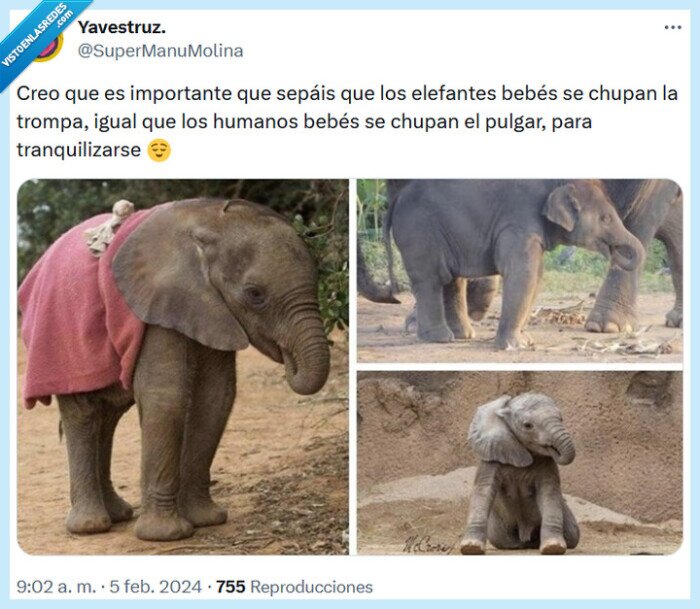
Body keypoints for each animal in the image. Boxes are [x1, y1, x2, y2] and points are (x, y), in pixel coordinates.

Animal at [19, 198, 330, 542]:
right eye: (255, 294)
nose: (288, 359)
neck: (210, 226)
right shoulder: (159, 301)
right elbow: (166, 396)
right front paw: (167, 535)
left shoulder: (210, 307)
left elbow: (216, 396)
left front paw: (207, 520)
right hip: (61, 342)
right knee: (84, 413)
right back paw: (91, 527)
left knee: (108, 417)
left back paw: (118, 514)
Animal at [385, 179, 645, 349]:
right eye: (605, 218)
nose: (617, 252)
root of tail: (394, 201)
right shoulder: (519, 223)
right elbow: (523, 273)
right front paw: (514, 346)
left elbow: (536, 276)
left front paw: (526, 342)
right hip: (419, 232)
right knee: (431, 280)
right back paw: (439, 338)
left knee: (451, 279)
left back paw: (462, 336)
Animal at [460, 393, 579, 555]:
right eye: (527, 426)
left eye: (561, 419)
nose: (554, 449)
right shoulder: (491, 453)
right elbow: (483, 490)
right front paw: (470, 547)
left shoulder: (547, 462)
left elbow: (549, 491)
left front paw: (553, 547)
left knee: (573, 534)